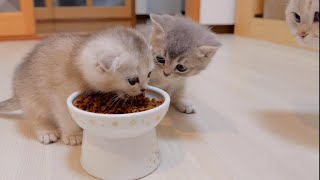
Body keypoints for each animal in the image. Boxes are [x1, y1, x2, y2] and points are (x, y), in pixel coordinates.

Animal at [0, 26, 154, 145]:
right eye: (132, 80)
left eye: (149, 74)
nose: (144, 89)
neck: (75, 59)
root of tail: (17, 93)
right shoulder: (60, 96)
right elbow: (66, 117)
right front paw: (73, 135)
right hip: (32, 101)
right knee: (37, 119)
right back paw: (47, 131)